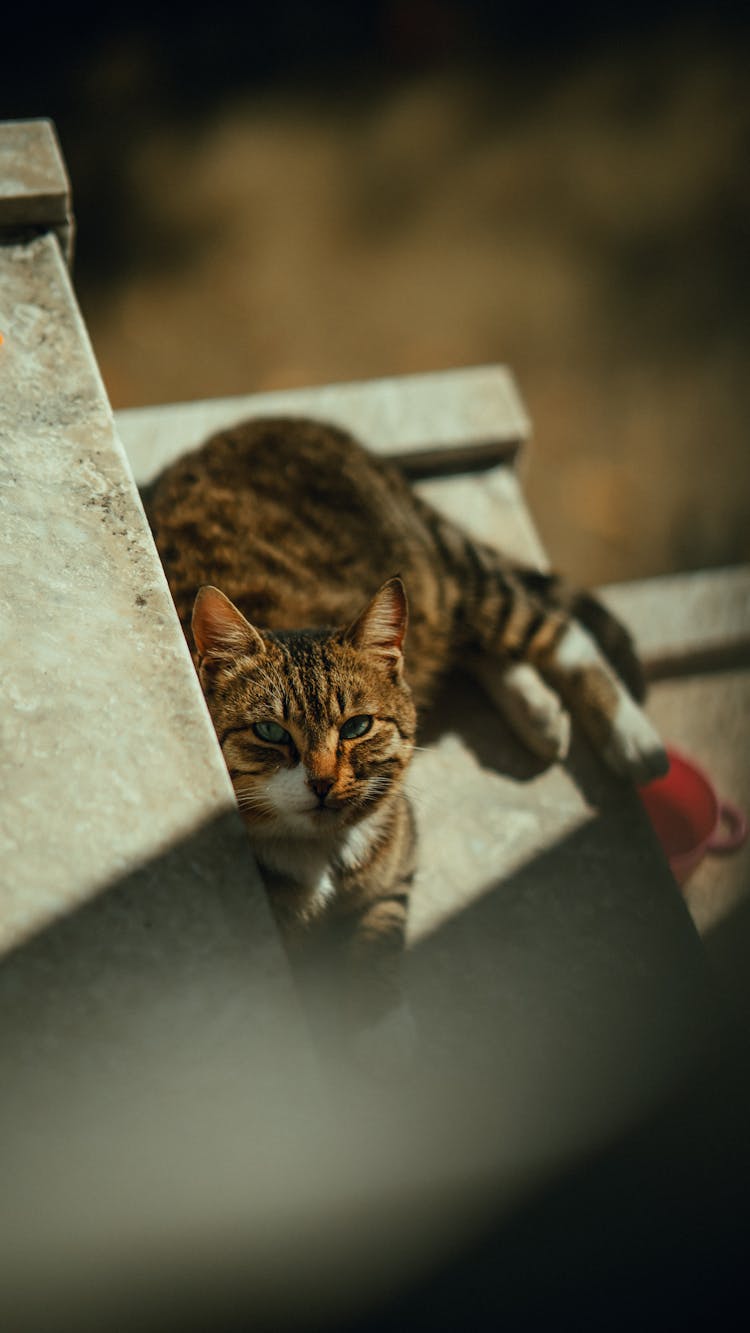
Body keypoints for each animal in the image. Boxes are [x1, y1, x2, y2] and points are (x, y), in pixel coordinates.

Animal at [146, 415, 668, 1061]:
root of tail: (270, 421)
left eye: (357, 726)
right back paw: (541, 713)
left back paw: (629, 737)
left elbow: (381, 932)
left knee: (553, 629)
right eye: (270, 731)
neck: (319, 851)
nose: (324, 782)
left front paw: (383, 1032)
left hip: (449, 575)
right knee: (479, 645)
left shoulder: (401, 853)